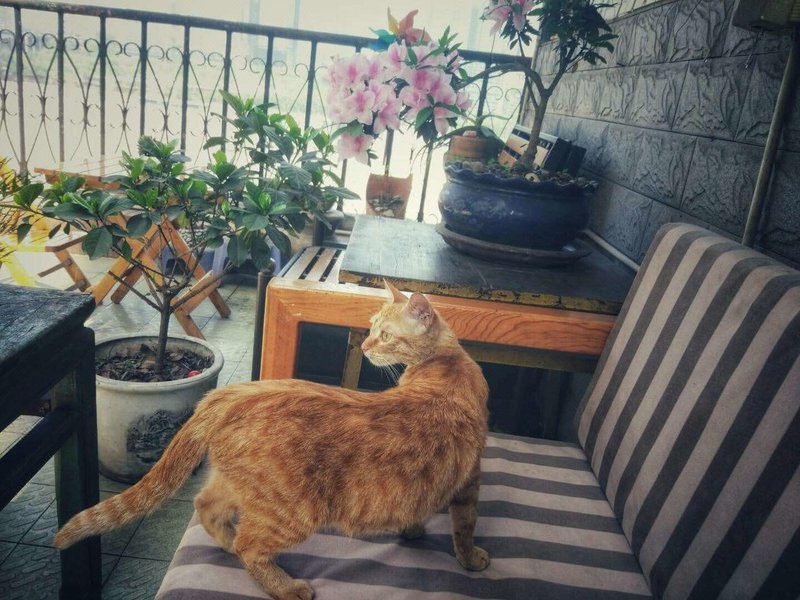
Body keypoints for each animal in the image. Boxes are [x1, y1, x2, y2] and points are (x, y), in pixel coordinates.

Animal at [53, 280, 490, 600]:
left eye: (384, 334)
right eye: (371, 330)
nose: (365, 345)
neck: (446, 363)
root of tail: (230, 394)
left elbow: (422, 507)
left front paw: (413, 531)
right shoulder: (470, 478)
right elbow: (464, 526)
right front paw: (469, 559)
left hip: (239, 486)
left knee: (207, 507)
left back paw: (228, 543)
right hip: (291, 511)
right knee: (251, 544)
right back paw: (285, 586)